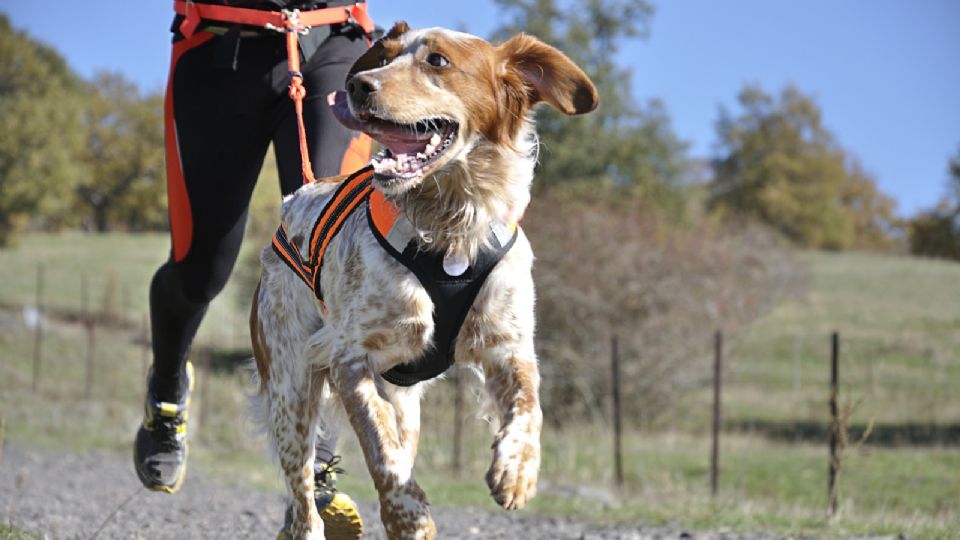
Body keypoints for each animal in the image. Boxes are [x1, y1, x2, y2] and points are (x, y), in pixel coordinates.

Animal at [253, 22, 600, 540]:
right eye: (386, 57)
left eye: (437, 61)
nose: (358, 85)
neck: (452, 228)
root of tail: (295, 199)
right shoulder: (350, 357)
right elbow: (382, 451)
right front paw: (407, 512)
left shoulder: (507, 345)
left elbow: (530, 405)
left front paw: (517, 470)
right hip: (291, 387)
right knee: (303, 505)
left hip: (403, 404)